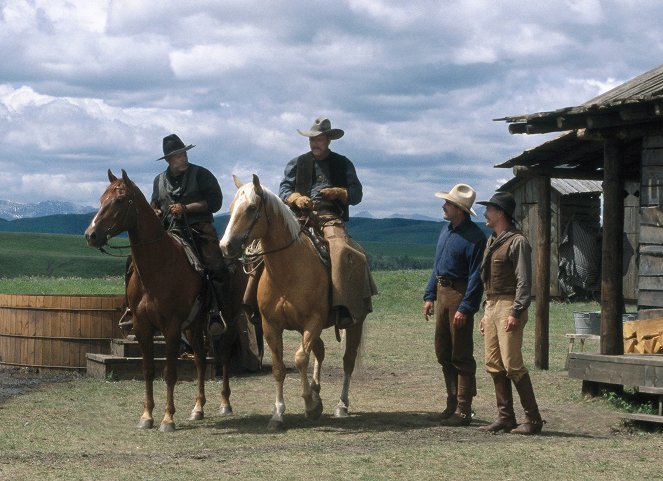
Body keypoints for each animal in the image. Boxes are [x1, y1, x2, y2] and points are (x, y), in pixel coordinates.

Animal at [84, 170, 243, 432]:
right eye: (101, 199)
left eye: (119, 200)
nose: (91, 235)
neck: (158, 267)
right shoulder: (142, 327)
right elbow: (149, 370)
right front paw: (146, 416)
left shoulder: (171, 328)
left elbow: (169, 373)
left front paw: (168, 419)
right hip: (193, 325)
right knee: (200, 359)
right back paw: (198, 408)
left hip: (229, 317)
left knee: (226, 353)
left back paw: (225, 403)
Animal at [220, 174, 366, 430]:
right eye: (230, 207)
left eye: (251, 208)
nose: (225, 245)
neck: (287, 271)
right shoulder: (271, 326)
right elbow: (279, 369)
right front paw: (279, 413)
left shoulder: (313, 321)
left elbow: (300, 359)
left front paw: (310, 405)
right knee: (320, 350)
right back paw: (318, 392)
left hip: (355, 323)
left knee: (347, 360)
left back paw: (341, 405)